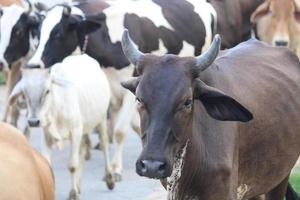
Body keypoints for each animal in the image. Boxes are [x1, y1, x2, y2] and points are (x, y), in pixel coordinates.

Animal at [7, 53, 116, 200]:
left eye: (47, 91)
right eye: (25, 93)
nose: (33, 121)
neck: (56, 108)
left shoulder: (75, 132)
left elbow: (73, 165)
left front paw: (73, 193)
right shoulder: (47, 134)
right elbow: (47, 163)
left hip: (102, 119)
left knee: (104, 144)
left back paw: (109, 178)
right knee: (83, 148)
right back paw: (79, 185)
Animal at [26, 0, 216, 181]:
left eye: (58, 33)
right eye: (38, 33)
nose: (33, 64)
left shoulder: (131, 88)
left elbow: (120, 130)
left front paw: (116, 169)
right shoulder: (112, 87)